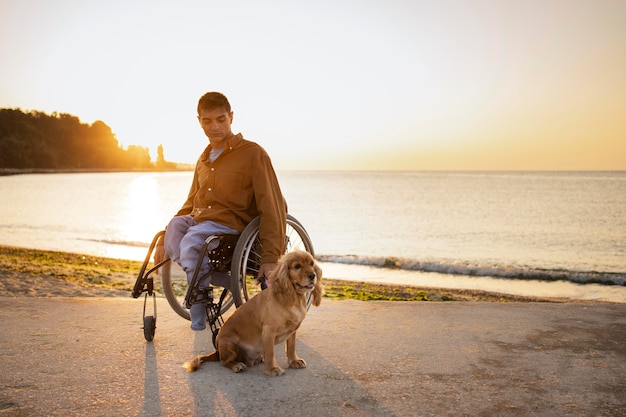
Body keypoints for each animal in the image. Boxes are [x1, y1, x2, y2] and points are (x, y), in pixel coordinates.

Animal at [182, 249, 322, 376]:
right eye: (297, 266)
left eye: (311, 263)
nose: (312, 275)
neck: (293, 297)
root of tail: (217, 350)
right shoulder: (268, 331)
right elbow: (270, 352)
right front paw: (272, 369)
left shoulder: (292, 330)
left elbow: (291, 347)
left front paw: (294, 362)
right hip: (228, 343)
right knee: (224, 361)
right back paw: (236, 365)